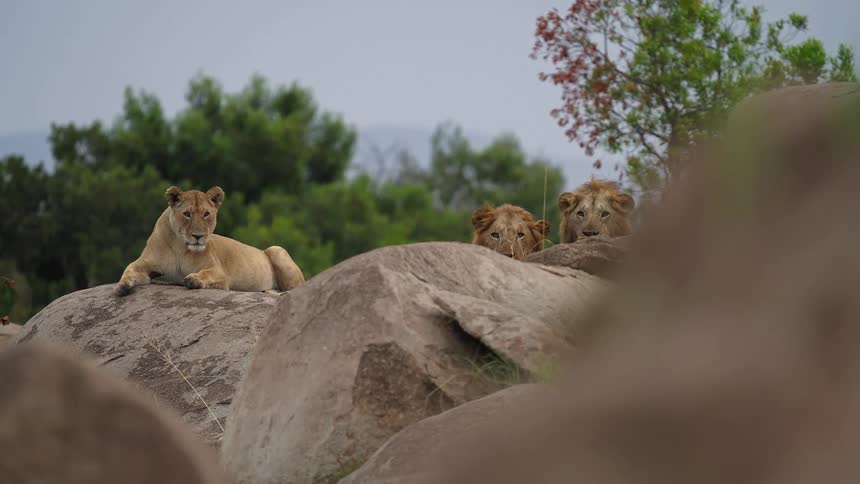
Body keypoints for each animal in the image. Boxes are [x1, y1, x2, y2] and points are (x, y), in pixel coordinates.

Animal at [114, 186, 305, 297]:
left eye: (206, 214)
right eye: (187, 214)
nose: (198, 236)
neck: (180, 246)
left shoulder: (220, 273)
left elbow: (206, 273)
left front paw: (194, 279)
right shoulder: (146, 262)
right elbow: (129, 268)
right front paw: (122, 285)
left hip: (276, 249)